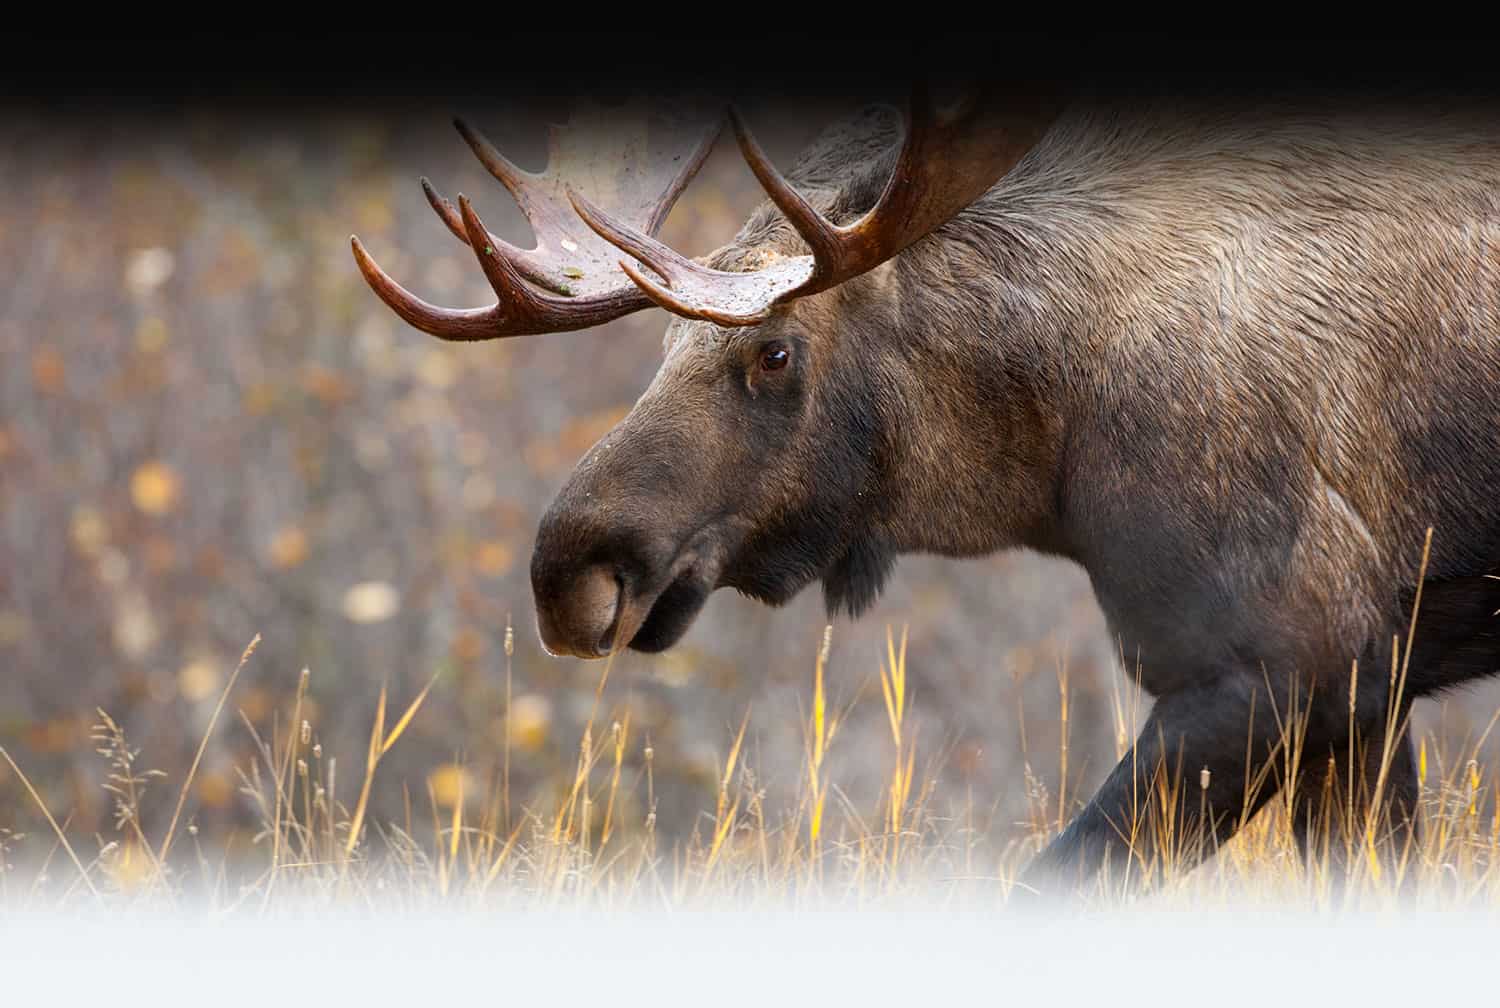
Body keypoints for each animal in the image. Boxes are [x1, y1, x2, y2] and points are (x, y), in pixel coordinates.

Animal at [350, 84, 1500, 896]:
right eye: (660, 345)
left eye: (774, 351)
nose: (568, 572)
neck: (1058, 457)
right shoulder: (1366, 696)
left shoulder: (1288, 663)